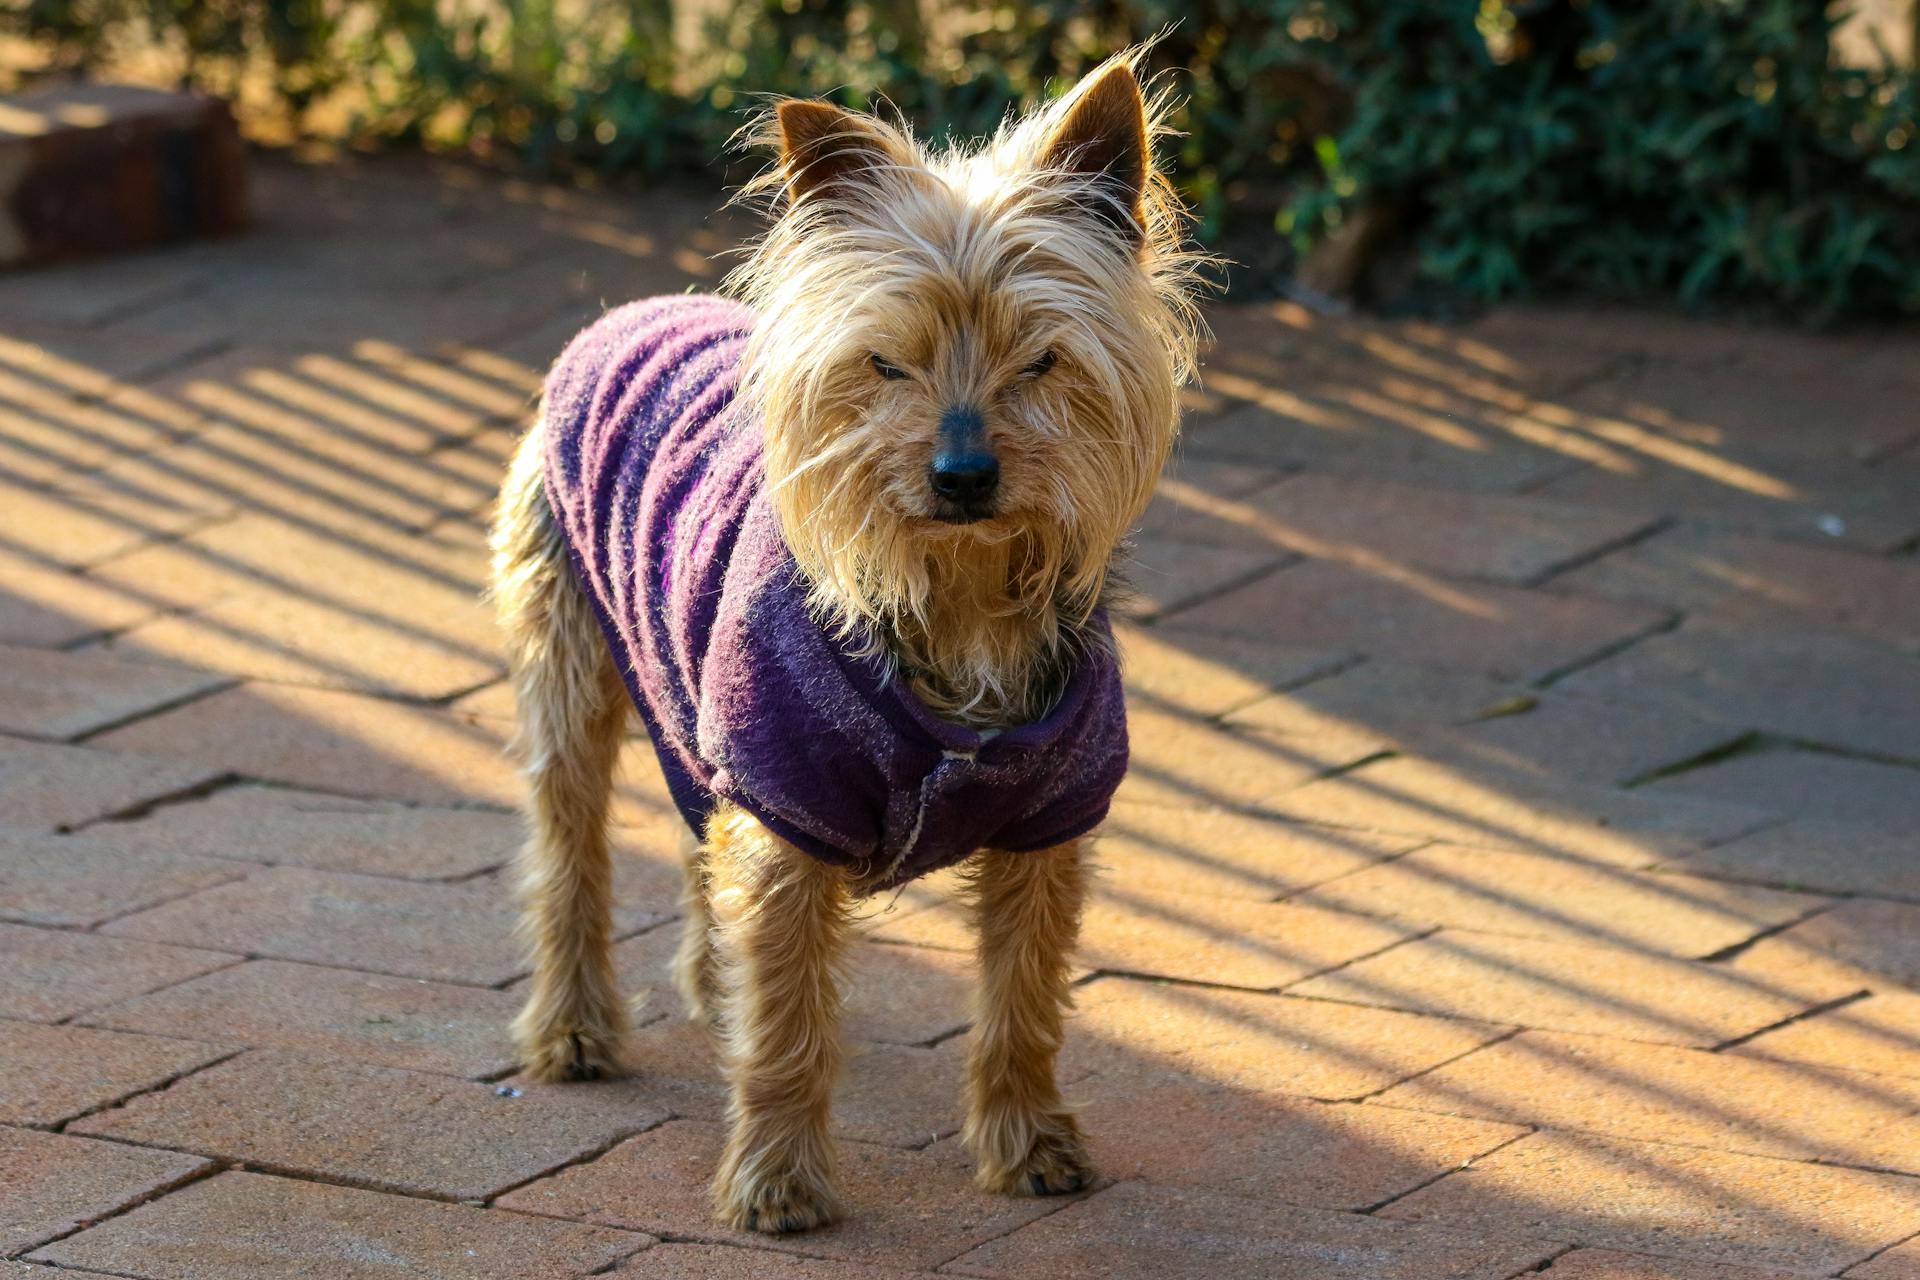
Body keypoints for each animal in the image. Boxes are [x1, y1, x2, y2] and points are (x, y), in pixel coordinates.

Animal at [491, 52, 1198, 1243]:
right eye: (887, 364)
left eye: (1040, 360)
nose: (962, 473)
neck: (960, 597)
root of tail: (628, 311)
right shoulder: (790, 795)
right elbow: (787, 1023)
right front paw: (777, 1180)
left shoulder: (1050, 821)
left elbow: (1024, 999)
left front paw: (1029, 1144)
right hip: (573, 646)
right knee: (570, 843)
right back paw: (575, 1026)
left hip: (692, 701)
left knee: (693, 825)